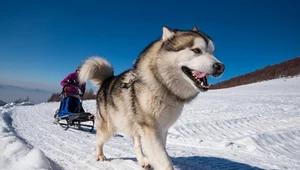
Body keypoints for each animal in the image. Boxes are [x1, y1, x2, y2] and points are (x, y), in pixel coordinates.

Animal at [78, 25, 224, 169]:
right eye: (196, 50)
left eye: (212, 52)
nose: (221, 67)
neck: (162, 87)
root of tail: (107, 80)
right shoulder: (150, 129)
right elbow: (164, 161)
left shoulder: (161, 129)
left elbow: (157, 152)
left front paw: (149, 158)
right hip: (109, 127)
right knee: (99, 140)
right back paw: (100, 155)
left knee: (136, 144)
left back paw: (143, 161)